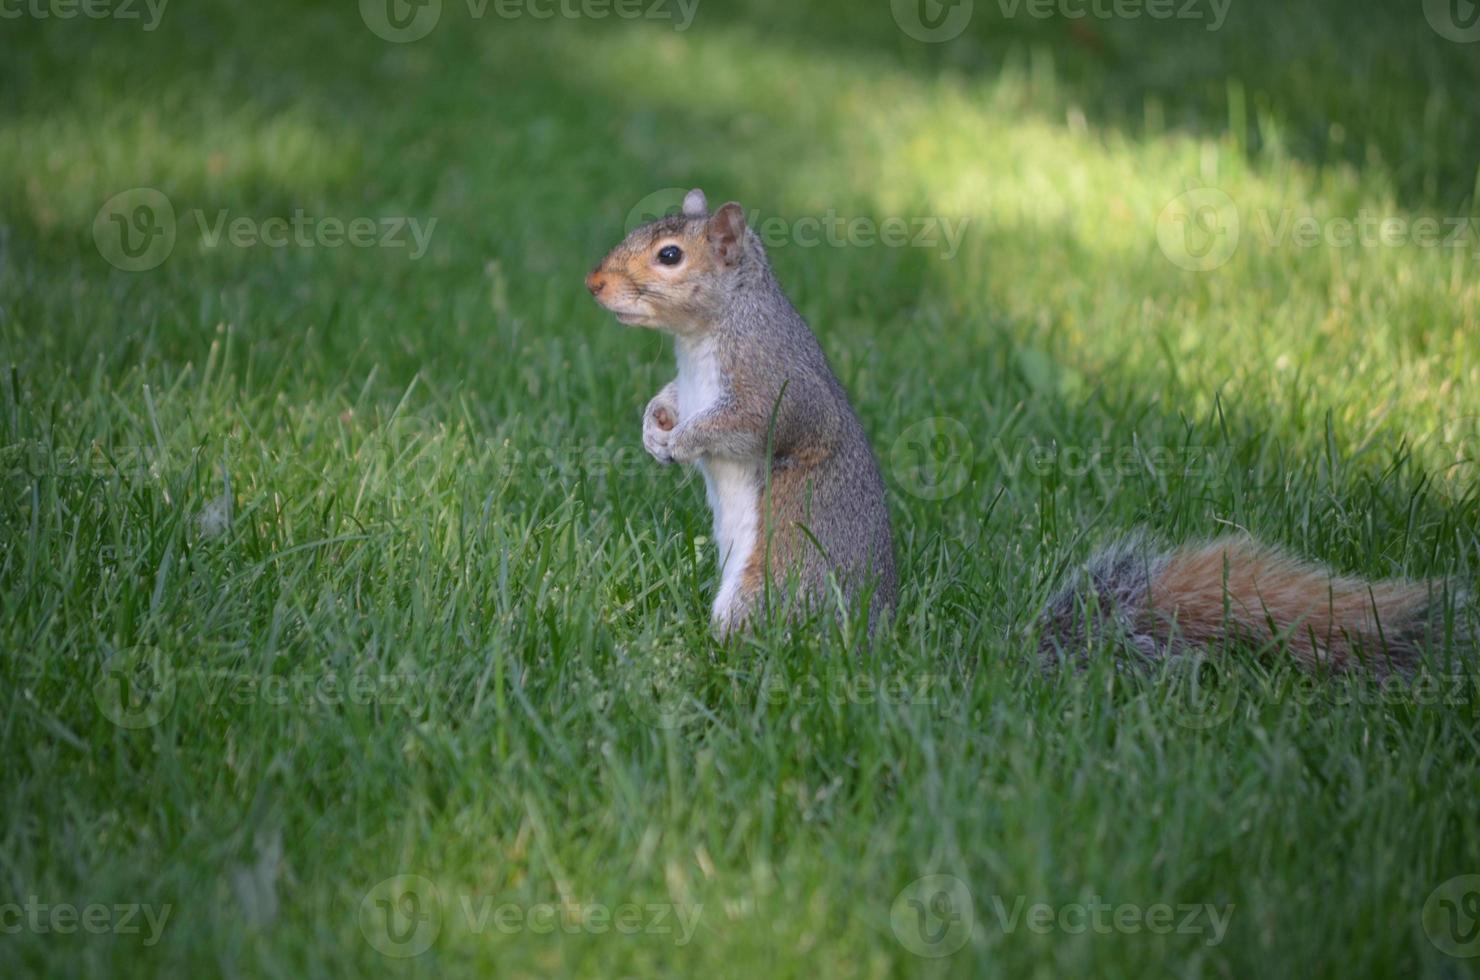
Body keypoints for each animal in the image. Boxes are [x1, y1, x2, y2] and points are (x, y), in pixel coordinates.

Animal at [583, 189, 893, 636]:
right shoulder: (689, 388)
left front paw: (683, 441)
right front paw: (653, 429)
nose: (593, 283)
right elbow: (669, 399)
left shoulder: (776, 385)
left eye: (670, 255)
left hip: (768, 589)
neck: (697, 340)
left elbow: (761, 423)